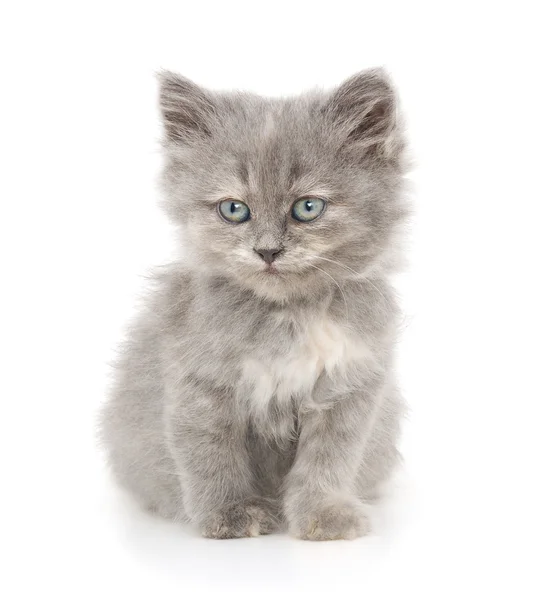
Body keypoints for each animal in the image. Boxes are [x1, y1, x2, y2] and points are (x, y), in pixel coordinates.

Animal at [99, 68, 408, 540]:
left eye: (308, 207)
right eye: (234, 209)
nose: (267, 251)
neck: (288, 316)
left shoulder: (348, 389)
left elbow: (328, 462)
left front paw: (324, 515)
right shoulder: (200, 385)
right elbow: (211, 455)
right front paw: (229, 514)